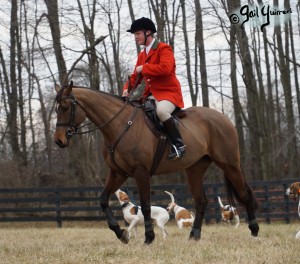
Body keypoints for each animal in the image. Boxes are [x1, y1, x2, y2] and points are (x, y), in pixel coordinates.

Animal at [53, 81, 258, 244]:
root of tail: (223, 117)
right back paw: (194, 235)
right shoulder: (118, 173)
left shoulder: (141, 172)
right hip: (195, 169)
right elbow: (103, 200)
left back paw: (254, 230)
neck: (120, 125)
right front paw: (120, 233)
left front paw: (149, 237)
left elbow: (145, 206)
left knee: (245, 194)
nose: (59, 141)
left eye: (65, 107)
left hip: (229, 165)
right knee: (201, 201)